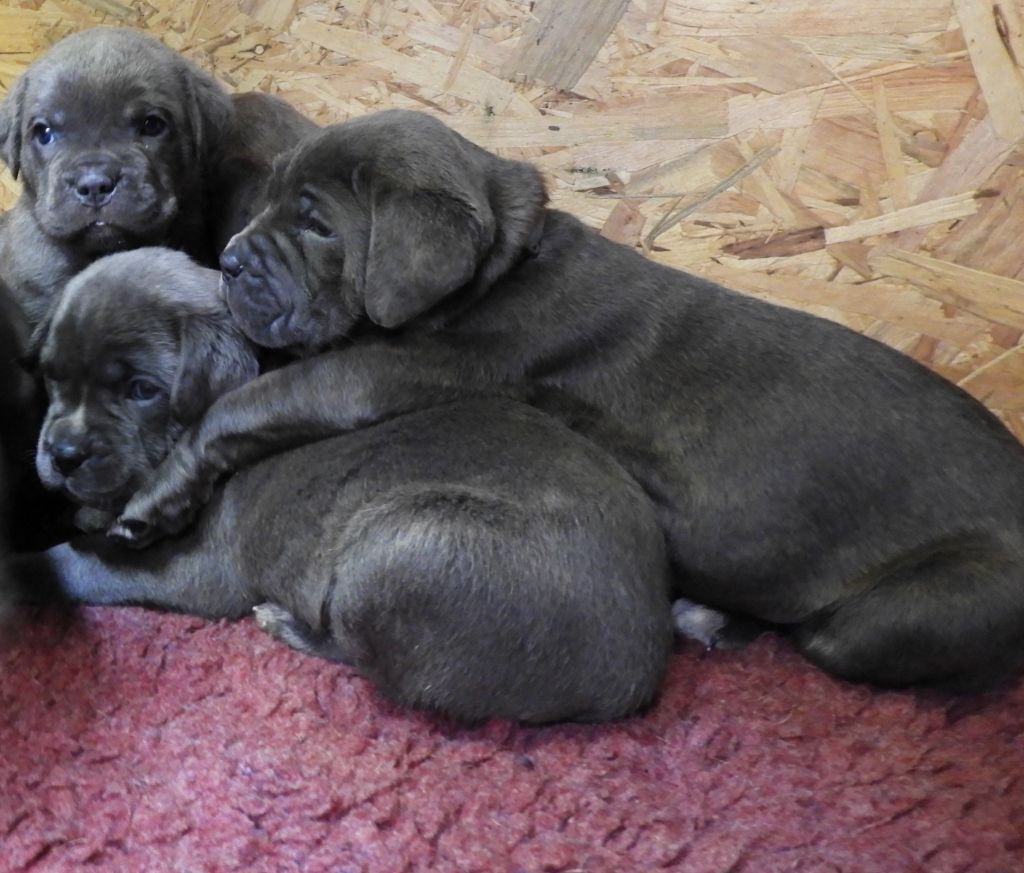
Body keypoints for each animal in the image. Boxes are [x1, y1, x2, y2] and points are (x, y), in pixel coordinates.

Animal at [14, 248, 679, 724]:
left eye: (141, 390)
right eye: (51, 377)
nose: (63, 455)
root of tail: (638, 675)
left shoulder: (193, 566)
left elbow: (74, 562)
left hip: (399, 550)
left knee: (382, 666)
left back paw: (285, 622)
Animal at [116, 108, 1024, 691]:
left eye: (318, 226)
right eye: (268, 202)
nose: (232, 260)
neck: (503, 268)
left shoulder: (386, 373)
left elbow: (247, 404)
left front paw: (155, 496)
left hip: (910, 609)